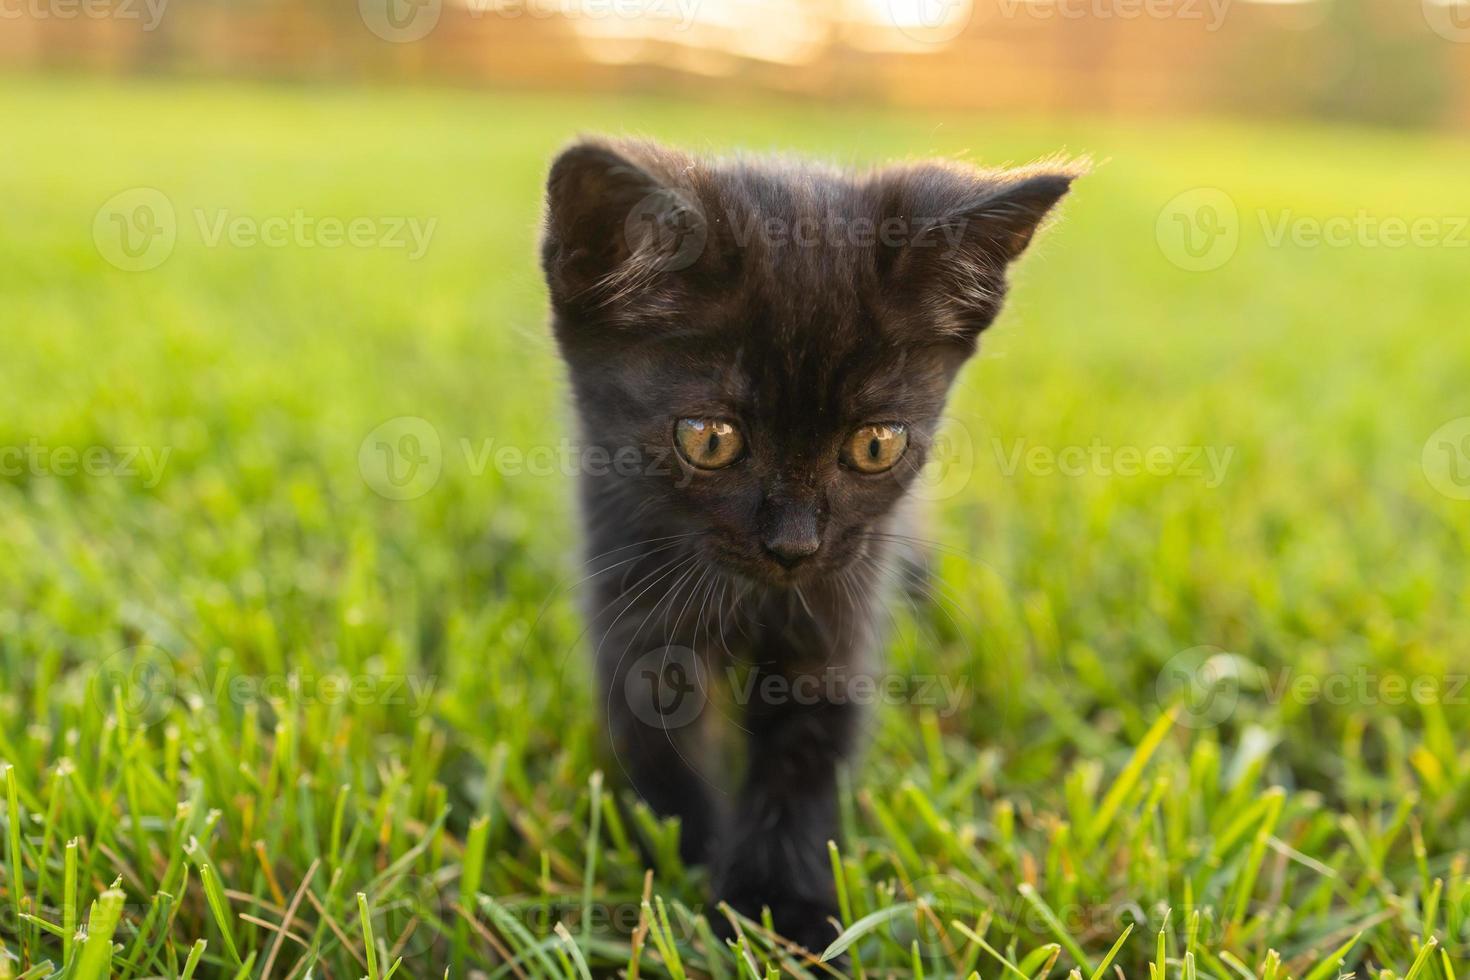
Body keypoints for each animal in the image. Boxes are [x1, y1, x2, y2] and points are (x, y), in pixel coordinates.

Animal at [543, 135, 1081, 952]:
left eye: (875, 445)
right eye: (708, 439)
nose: (794, 545)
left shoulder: (843, 611)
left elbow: (806, 756)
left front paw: (780, 907)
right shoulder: (630, 587)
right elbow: (658, 740)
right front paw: (690, 859)